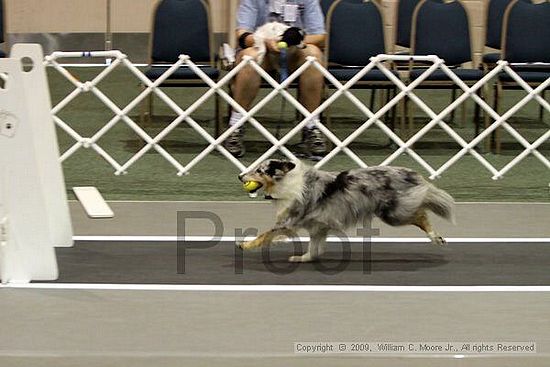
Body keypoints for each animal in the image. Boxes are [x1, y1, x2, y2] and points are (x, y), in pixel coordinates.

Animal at [237, 160, 458, 264]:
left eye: (259, 171)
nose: (240, 176)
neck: (286, 182)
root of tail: (412, 173)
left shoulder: (288, 222)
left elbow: (264, 235)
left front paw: (245, 245)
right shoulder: (318, 227)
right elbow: (314, 250)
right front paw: (303, 258)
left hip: (393, 213)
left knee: (421, 214)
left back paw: (435, 237)